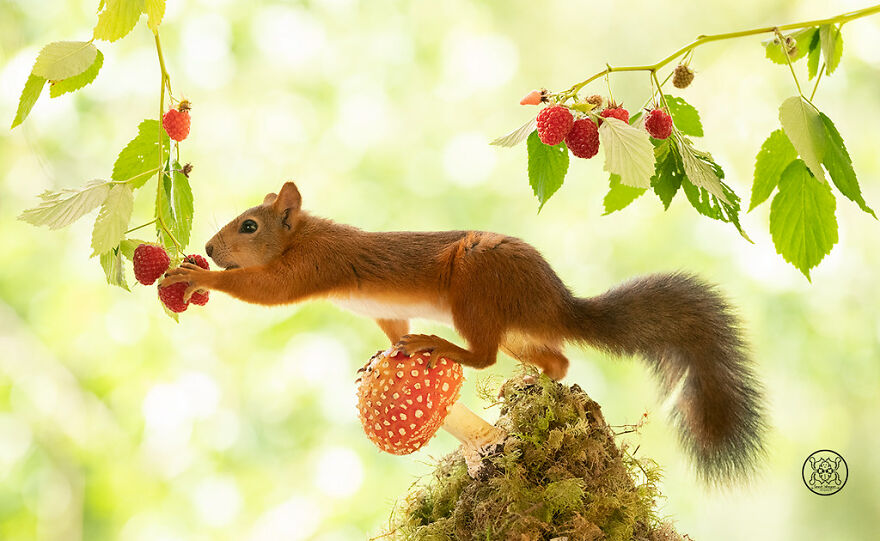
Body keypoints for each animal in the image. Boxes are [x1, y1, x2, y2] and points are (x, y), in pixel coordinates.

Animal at [161, 181, 766, 482]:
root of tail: (553, 299)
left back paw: (439, 346)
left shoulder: (310, 269)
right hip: (517, 328)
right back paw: (530, 382)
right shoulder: (383, 311)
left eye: (249, 226)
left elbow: (263, 292)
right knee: (556, 360)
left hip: (474, 289)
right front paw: (376, 362)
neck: (302, 236)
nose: (209, 247)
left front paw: (196, 275)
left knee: (482, 356)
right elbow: (391, 332)